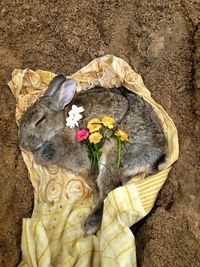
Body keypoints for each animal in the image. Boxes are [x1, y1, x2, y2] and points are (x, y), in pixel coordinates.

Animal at [18, 74, 166, 236]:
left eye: (40, 120)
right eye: (20, 121)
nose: (23, 144)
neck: (63, 121)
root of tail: (157, 155)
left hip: (113, 156)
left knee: (108, 193)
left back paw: (89, 225)